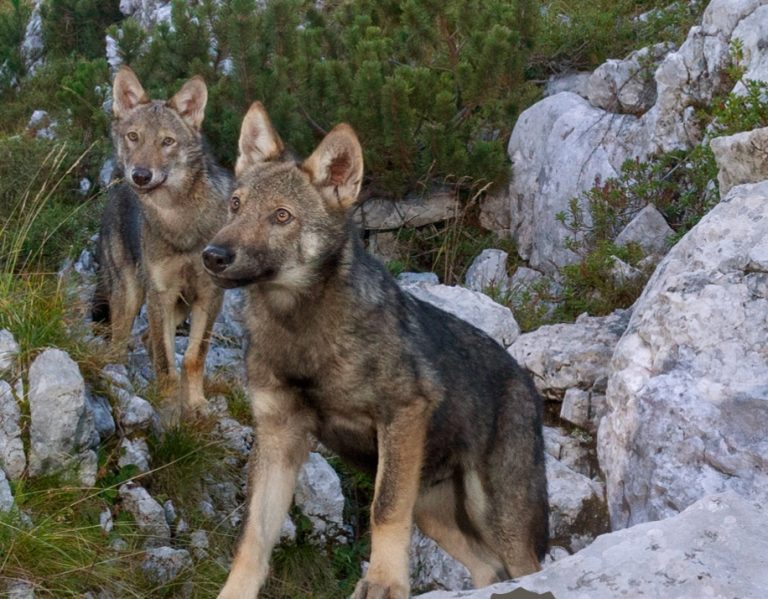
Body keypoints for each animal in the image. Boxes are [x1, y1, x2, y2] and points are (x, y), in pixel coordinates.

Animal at [92, 66, 233, 420]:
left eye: (167, 142)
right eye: (134, 137)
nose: (141, 176)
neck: (180, 222)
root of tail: (116, 192)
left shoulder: (209, 297)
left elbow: (194, 357)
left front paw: (196, 405)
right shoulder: (161, 294)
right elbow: (167, 363)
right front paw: (169, 409)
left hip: (177, 308)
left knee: (146, 338)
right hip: (130, 297)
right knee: (120, 343)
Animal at [203, 103, 548, 599]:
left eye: (281, 216)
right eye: (235, 205)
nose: (213, 255)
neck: (301, 333)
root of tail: (526, 382)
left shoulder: (401, 413)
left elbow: (382, 510)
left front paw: (383, 583)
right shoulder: (278, 436)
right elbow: (253, 537)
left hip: (498, 515)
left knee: (523, 566)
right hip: (432, 508)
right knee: (488, 569)